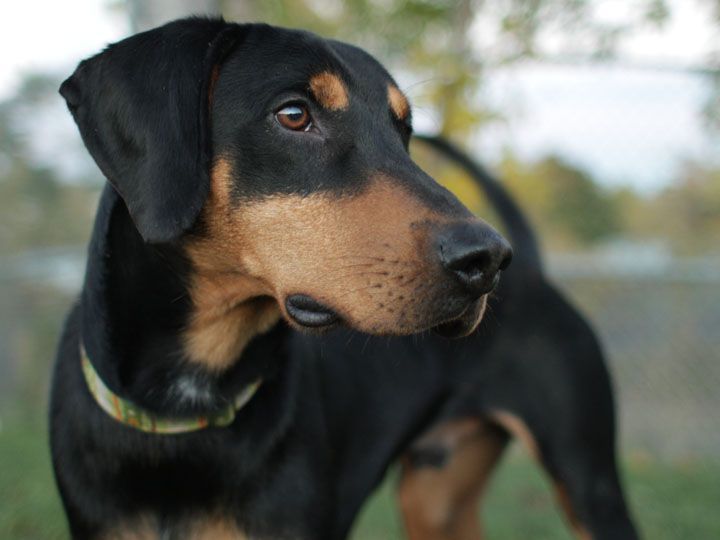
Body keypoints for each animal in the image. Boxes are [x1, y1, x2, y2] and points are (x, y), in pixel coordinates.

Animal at [49, 15, 636, 540]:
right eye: (293, 115)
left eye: (403, 131)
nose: (487, 261)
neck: (185, 408)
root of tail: (534, 268)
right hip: (437, 499)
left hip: (589, 484)